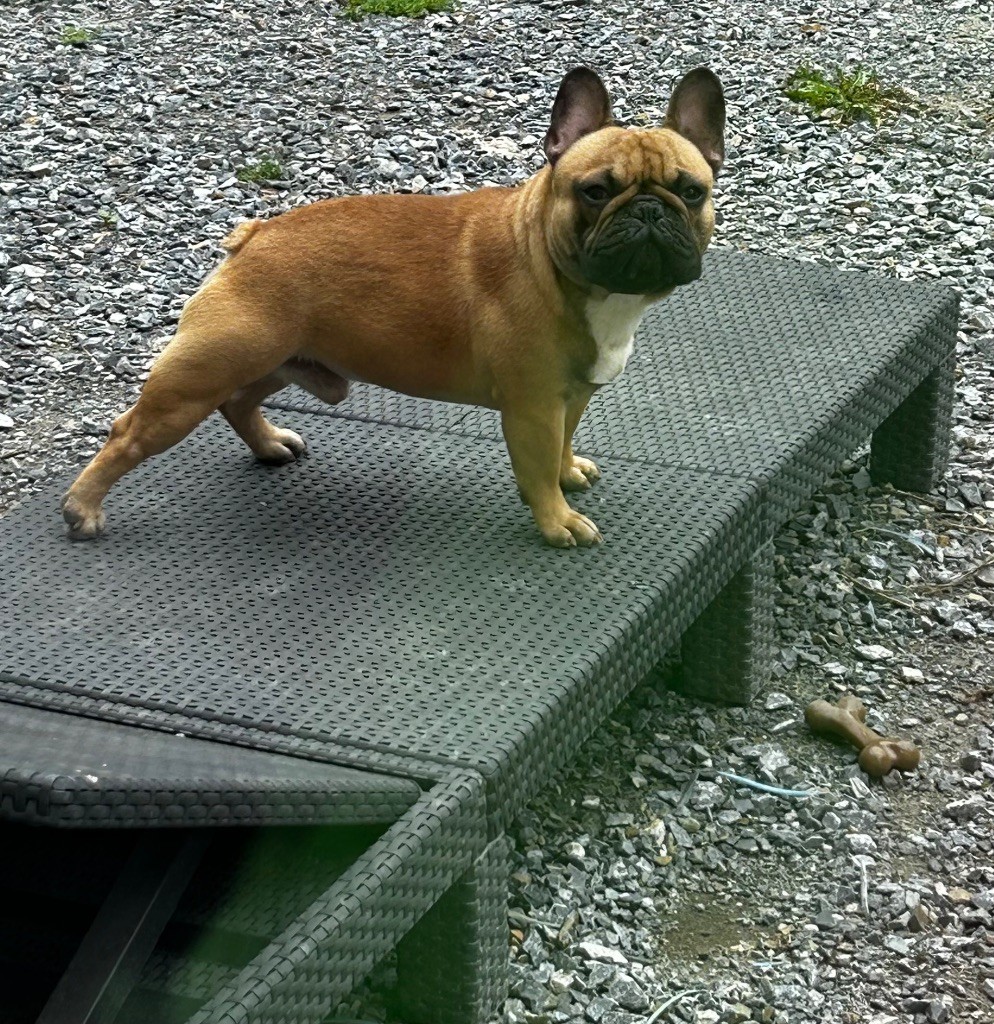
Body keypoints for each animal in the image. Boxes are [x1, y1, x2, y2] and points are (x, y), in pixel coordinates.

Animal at [62, 66, 725, 548]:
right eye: (594, 191)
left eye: (693, 191)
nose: (649, 212)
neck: (559, 267)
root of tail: (253, 236)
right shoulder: (533, 406)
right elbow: (537, 468)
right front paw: (557, 520)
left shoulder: (572, 396)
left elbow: (562, 445)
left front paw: (569, 476)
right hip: (204, 373)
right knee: (130, 433)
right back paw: (83, 508)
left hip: (282, 360)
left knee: (239, 401)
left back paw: (270, 444)